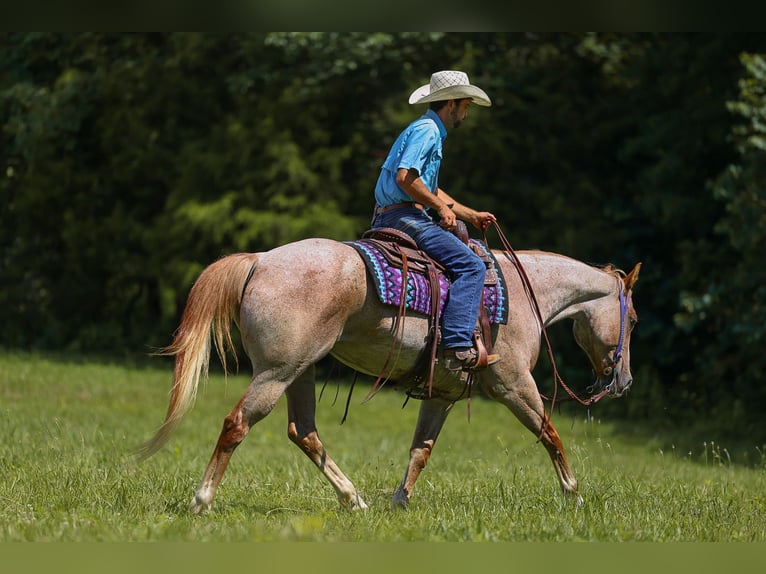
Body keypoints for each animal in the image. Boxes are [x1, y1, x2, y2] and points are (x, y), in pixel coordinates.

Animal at [138, 235, 641, 512]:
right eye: (633, 320)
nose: (624, 382)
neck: (521, 291)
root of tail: (260, 260)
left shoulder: (442, 394)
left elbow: (421, 450)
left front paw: (400, 503)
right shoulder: (515, 384)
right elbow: (550, 433)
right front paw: (574, 496)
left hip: (299, 372)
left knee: (304, 432)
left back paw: (354, 500)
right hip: (276, 373)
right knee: (238, 424)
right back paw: (202, 500)